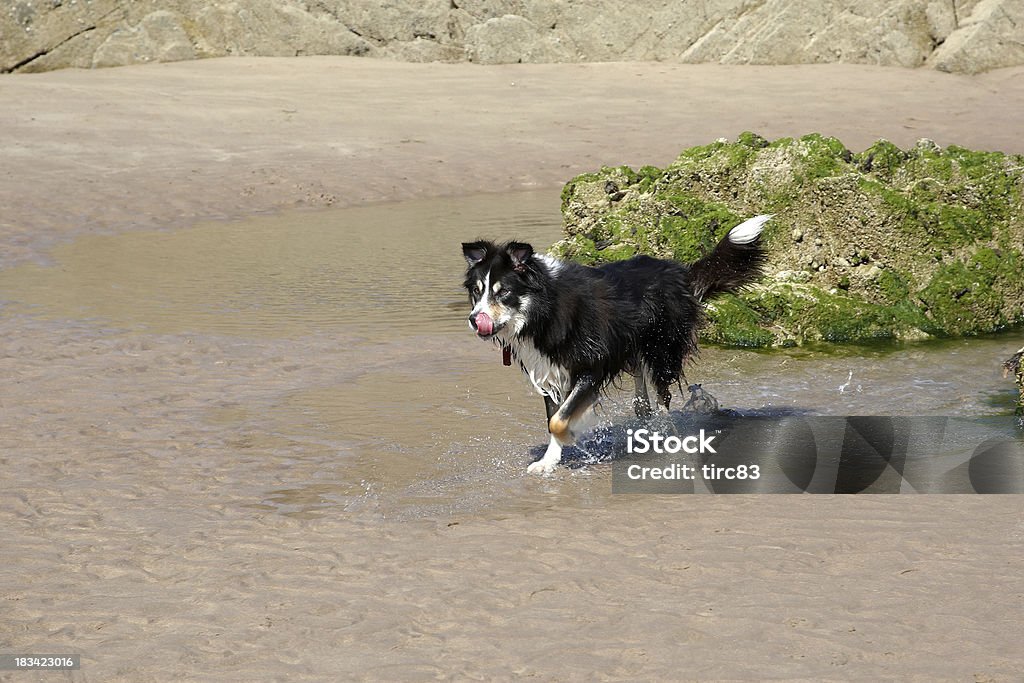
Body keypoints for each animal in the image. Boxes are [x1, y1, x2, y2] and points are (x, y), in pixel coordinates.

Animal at [462, 216, 770, 473]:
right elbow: (553, 418)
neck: (544, 308)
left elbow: (559, 419)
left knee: (663, 397)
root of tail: (680, 272)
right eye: (477, 291)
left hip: (661, 349)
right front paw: (548, 462)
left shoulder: (591, 366)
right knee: (642, 403)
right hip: (634, 350)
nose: (475, 320)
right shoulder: (549, 370)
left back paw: (665, 435)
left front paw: (573, 433)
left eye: (504, 292)